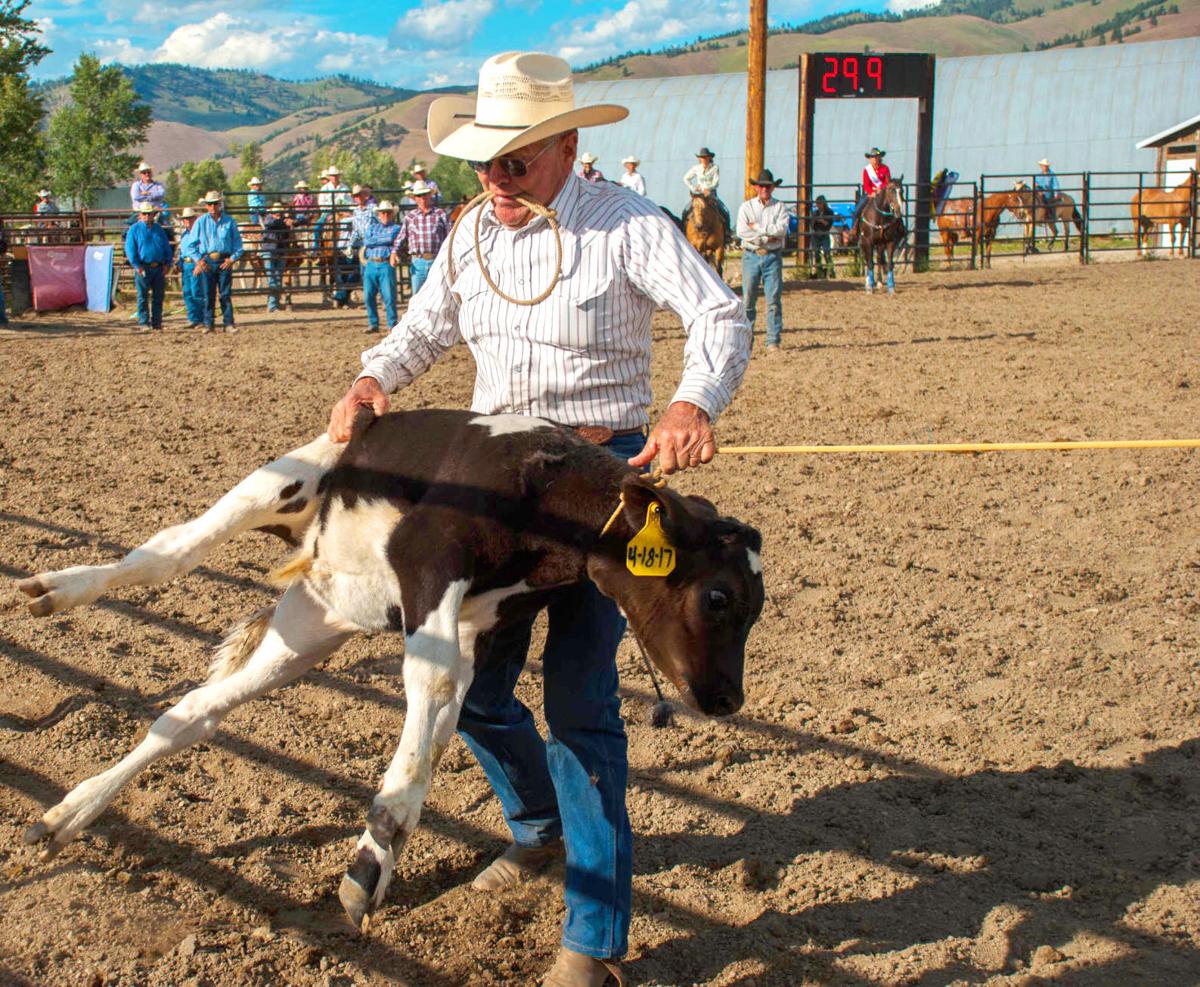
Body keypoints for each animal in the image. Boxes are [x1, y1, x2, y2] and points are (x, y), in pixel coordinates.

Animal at [14, 410, 763, 936]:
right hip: (280, 482)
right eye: (718, 597)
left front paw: (377, 856)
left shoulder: (472, 624)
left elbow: (443, 716)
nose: (727, 698)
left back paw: (65, 814)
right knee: (168, 553)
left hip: (310, 624)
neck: (544, 495)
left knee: (195, 711)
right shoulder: (430, 561)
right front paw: (373, 856)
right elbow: (432, 691)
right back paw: (54, 590)